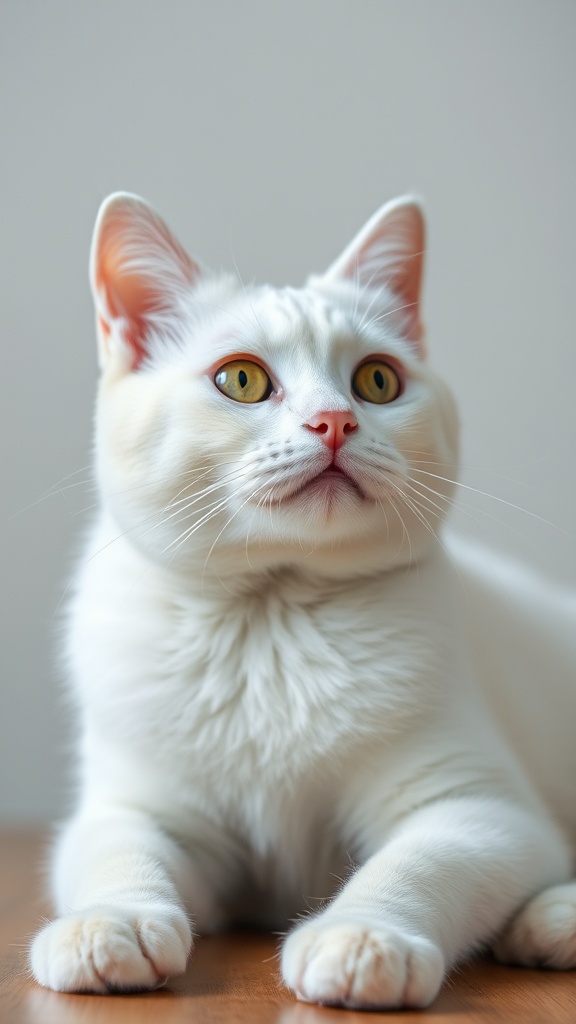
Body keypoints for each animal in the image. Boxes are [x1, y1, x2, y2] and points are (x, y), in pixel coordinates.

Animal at [31, 192, 573, 1007]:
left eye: (377, 381)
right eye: (241, 380)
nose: (335, 422)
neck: (271, 619)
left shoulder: (479, 806)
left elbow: (416, 864)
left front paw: (366, 937)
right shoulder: (137, 807)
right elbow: (117, 854)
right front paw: (110, 924)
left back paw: (550, 920)